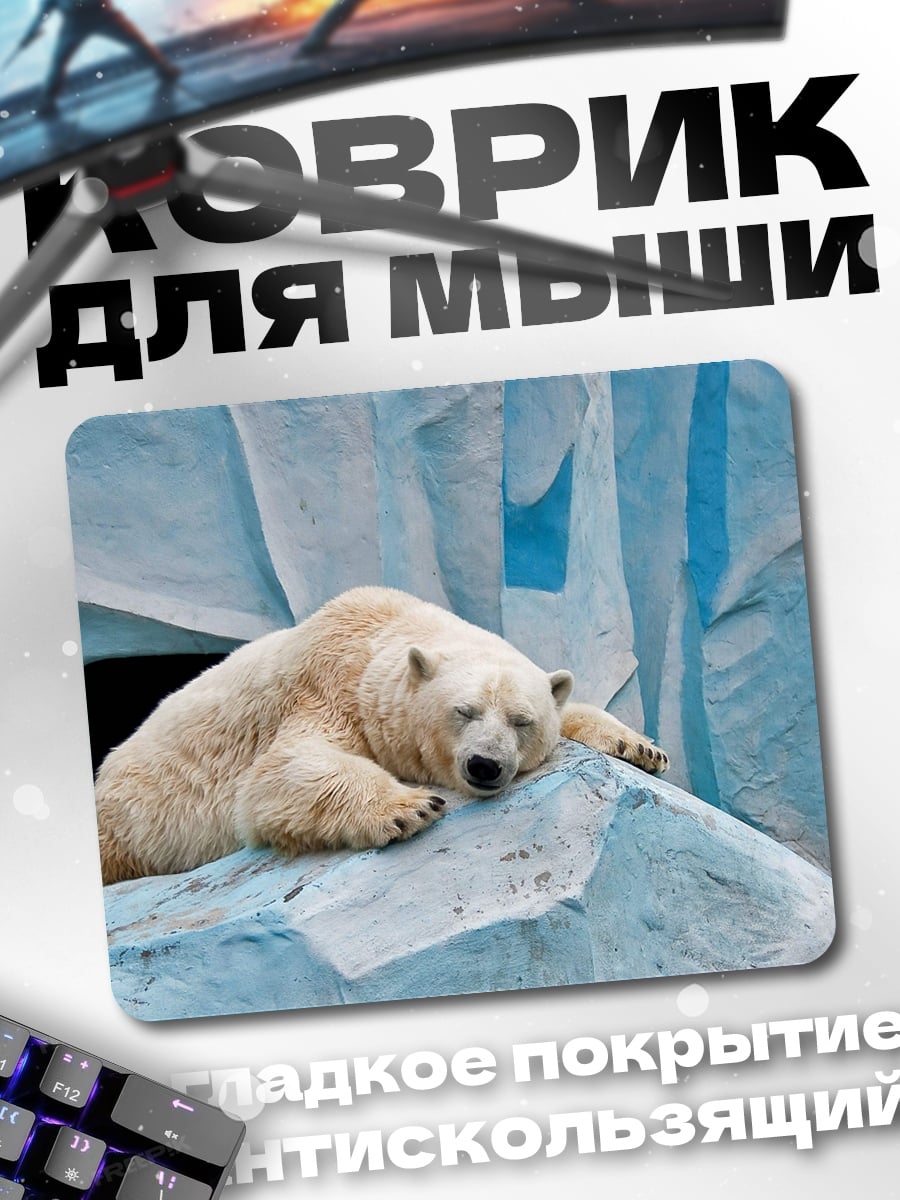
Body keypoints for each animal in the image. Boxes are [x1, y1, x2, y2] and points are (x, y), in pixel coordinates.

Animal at [95, 586, 668, 883]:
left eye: (520, 721)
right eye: (464, 711)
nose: (485, 765)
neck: (382, 630)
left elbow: (572, 708)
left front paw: (641, 747)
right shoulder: (326, 689)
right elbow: (279, 772)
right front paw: (410, 806)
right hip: (128, 819)